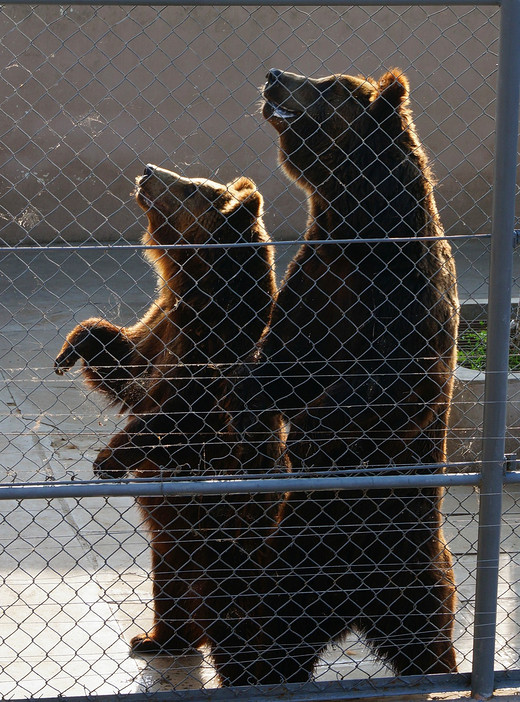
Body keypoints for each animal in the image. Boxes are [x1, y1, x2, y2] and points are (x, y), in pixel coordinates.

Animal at [53, 165, 280, 656]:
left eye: (190, 188)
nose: (148, 171)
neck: (193, 284)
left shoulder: (211, 353)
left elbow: (174, 416)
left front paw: (107, 460)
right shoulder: (163, 327)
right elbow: (123, 365)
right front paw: (72, 348)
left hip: (228, 534)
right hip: (175, 540)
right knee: (169, 579)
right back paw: (156, 638)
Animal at [210, 70, 460, 688]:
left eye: (327, 86)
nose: (275, 76)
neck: (353, 227)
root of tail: (351, 608)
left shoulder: (402, 287)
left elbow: (394, 381)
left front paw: (309, 432)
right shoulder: (316, 280)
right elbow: (279, 365)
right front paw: (249, 403)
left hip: (406, 558)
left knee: (427, 637)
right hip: (289, 564)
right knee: (263, 632)